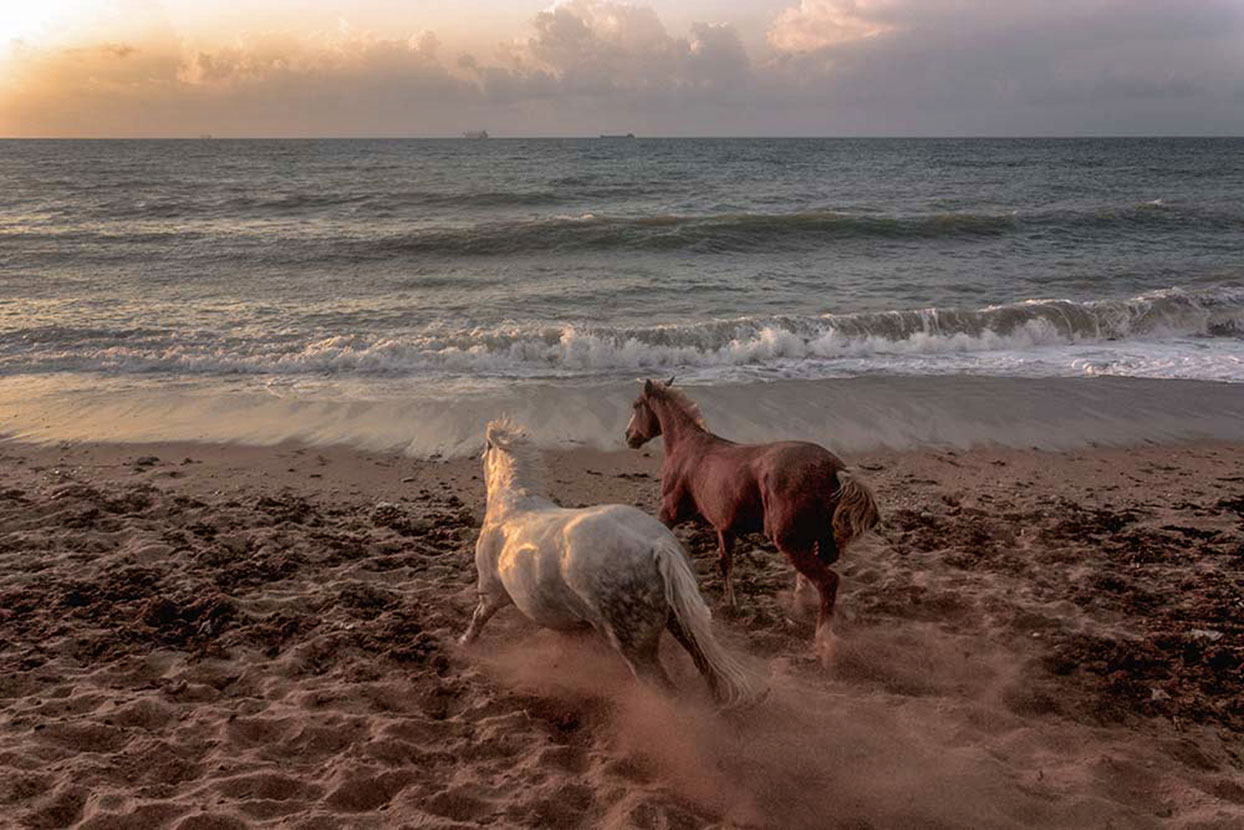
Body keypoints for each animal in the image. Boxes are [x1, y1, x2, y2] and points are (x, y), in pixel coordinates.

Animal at [462, 418, 761, 706]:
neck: (511, 508)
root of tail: (656, 546)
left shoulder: (490, 592)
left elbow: (478, 618)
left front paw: (464, 643)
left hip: (635, 645)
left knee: (665, 689)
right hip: (679, 621)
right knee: (705, 665)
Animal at [626, 380, 880, 647]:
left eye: (636, 405)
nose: (628, 436)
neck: (687, 447)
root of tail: (835, 469)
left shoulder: (669, 512)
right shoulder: (724, 527)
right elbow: (725, 562)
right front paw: (730, 604)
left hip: (790, 542)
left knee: (828, 582)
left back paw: (823, 640)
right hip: (819, 541)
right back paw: (798, 609)